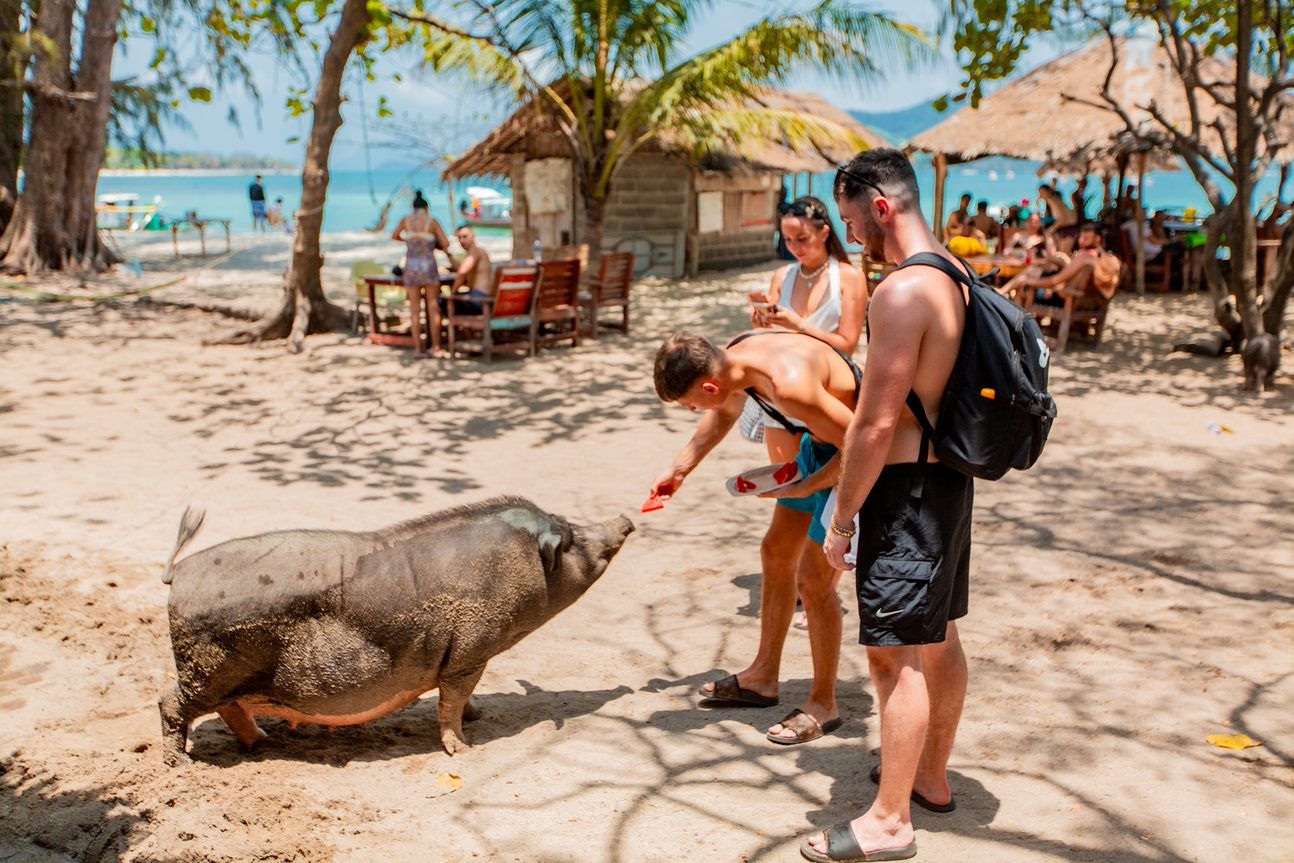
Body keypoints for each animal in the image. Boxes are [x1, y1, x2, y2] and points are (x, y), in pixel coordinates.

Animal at [157, 497, 633, 765]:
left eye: (569, 524)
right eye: (571, 539)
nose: (625, 519)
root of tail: (178, 573)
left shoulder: (469, 658)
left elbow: (462, 699)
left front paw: (479, 717)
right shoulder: (469, 651)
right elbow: (451, 702)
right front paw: (465, 751)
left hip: (224, 677)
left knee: (229, 709)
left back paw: (263, 742)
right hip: (207, 671)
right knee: (170, 704)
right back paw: (180, 766)